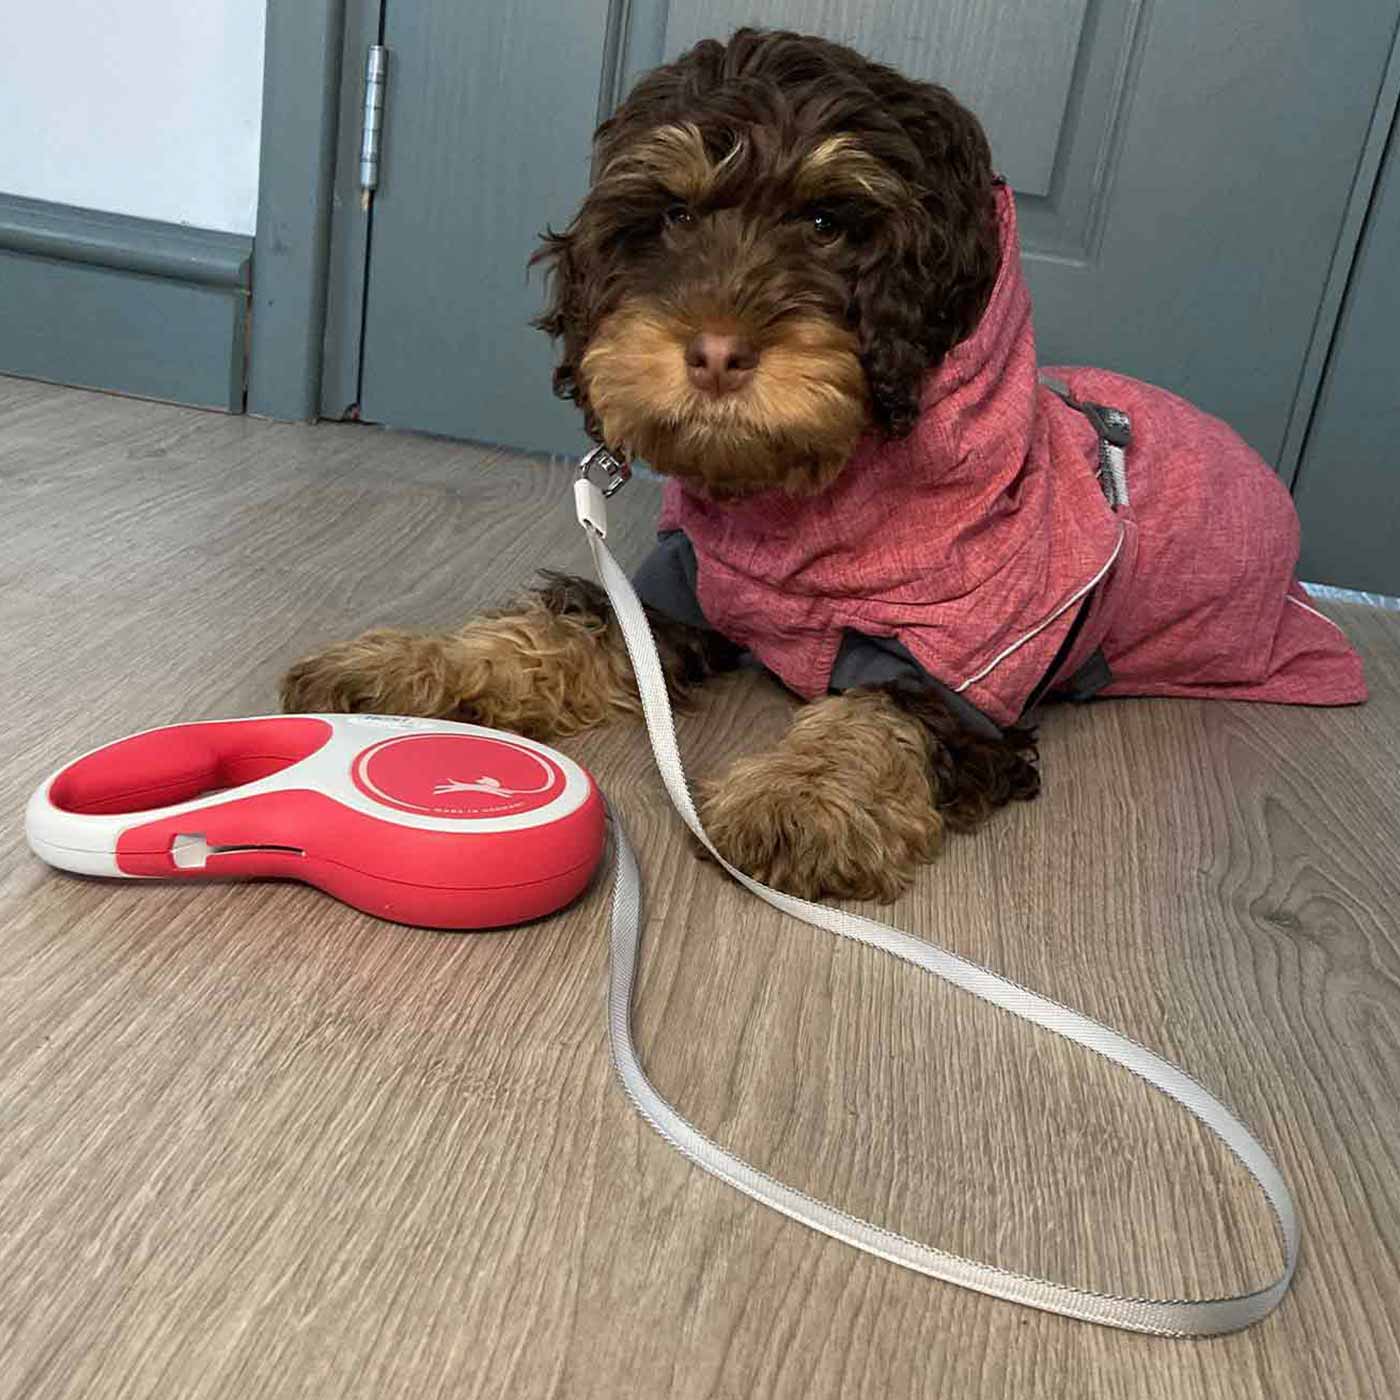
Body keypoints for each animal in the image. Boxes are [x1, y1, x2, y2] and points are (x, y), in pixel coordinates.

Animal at [281, 29, 1366, 902]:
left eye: (827, 223)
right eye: (671, 218)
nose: (715, 352)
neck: (798, 514)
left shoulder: (963, 665)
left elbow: (884, 720)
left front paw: (800, 800)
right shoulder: (679, 596)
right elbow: (557, 628)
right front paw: (405, 664)